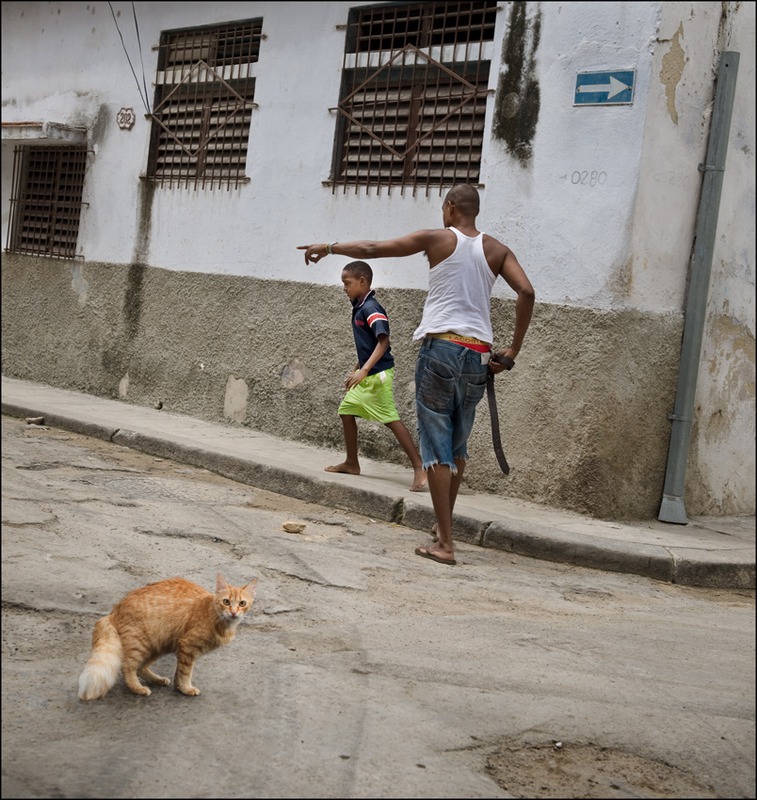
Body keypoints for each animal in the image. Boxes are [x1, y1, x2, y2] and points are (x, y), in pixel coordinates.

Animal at [78, 576, 256, 700]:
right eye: (226, 602)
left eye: (242, 603)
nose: (233, 612)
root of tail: (114, 610)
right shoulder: (188, 647)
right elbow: (185, 672)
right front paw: (186, 689)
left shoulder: (183, 649)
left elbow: (179, 672)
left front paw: (179, 687)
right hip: (141, 644)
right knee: (127, 666)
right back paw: (138, 689)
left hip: (158, 645)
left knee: (141, 668)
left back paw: (158, 680)